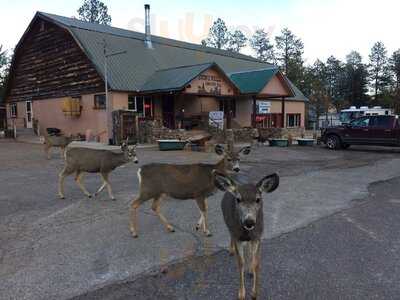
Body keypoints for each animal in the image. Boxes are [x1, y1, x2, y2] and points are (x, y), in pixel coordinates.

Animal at [214, 170, 280, 298]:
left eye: (258, 199)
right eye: (238, 199)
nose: (249, 221)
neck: (246, 232)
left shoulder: (257, 236)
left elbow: (256, 263)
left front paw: (255, 293)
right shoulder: (237, 237)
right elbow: (240, 263)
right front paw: (241, 293)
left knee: (249, 250)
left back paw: (249, 271)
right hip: (228, 223)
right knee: (231, 235)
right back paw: (231, 250)